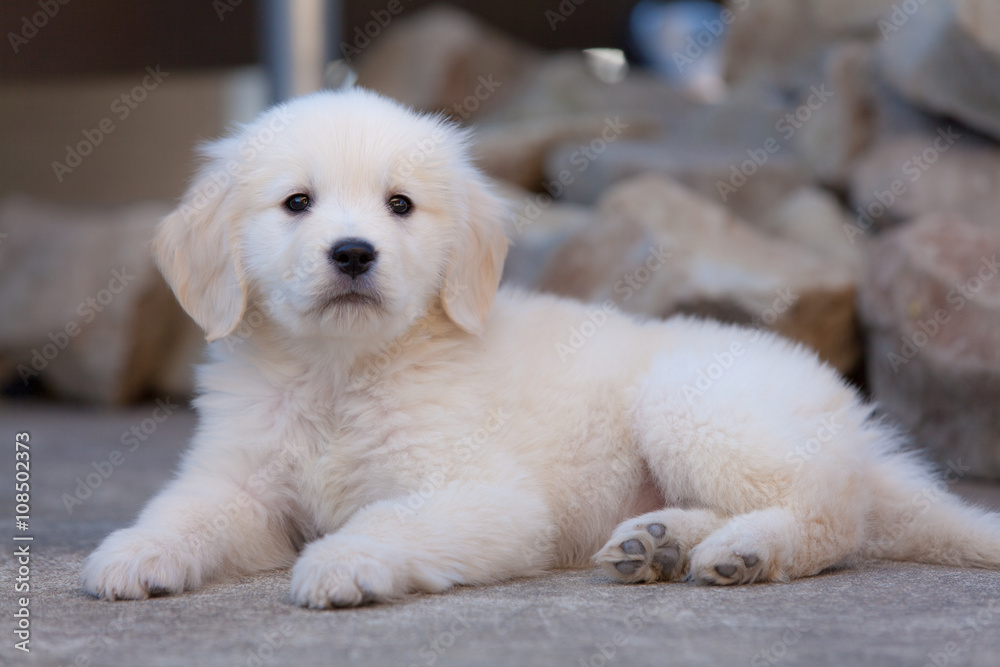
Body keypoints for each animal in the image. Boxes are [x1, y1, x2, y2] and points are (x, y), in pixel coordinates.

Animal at [80, 87, 1000, 604]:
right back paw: (659, 542)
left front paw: (348, 561)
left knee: (834, 510)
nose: (353, 254)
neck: (341, 371)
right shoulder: (241, 482)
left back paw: (743, 550)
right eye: (296, 203)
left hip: (696, 403)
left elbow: (390, 516)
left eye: (400, 205)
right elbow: (185, 510)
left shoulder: (485, 493)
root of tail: (851, 420)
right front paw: (134, 553)